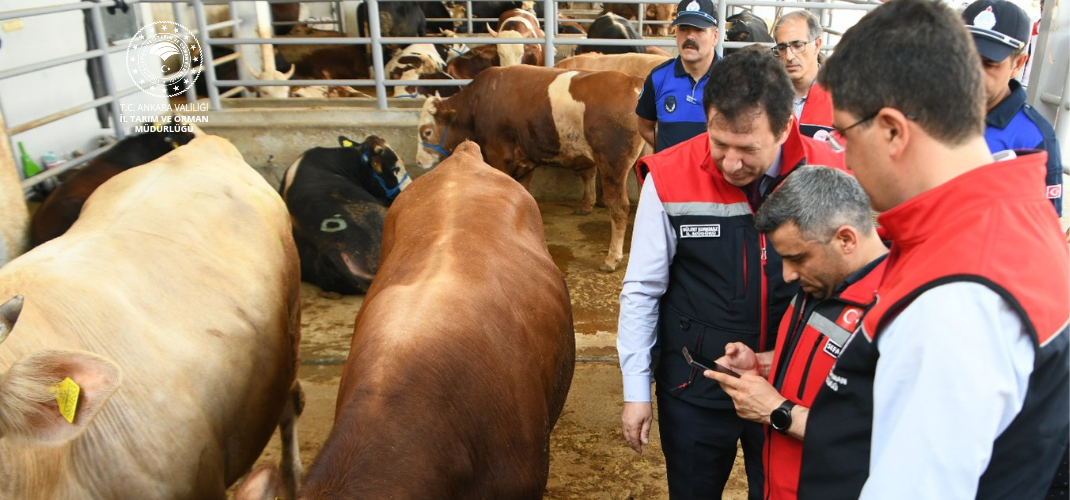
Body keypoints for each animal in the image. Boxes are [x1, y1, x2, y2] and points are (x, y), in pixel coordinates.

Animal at [415, 66, 642, 271]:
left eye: (427, 132)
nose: (418, 162)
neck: (480, 101)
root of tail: (632, 81)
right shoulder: (526, 159)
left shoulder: (498, 155)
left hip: (612, 163)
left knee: (619, 207)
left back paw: (612, 259)